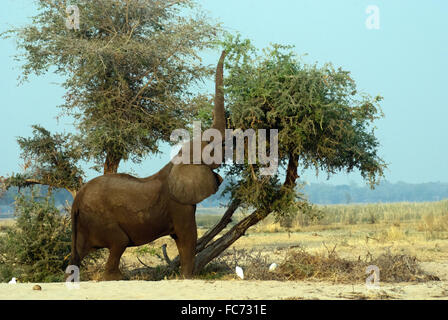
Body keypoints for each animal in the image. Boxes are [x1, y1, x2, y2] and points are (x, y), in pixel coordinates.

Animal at [69, 50, 228, 280]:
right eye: (211, 148)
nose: (226, 50)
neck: (179, 161)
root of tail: (77, 199)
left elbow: (182, 239)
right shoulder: (179, 205)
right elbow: (187, 236)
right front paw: (187, 277)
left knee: (77, 256)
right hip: (100, 218)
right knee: (119, 242)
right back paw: (117, 279)